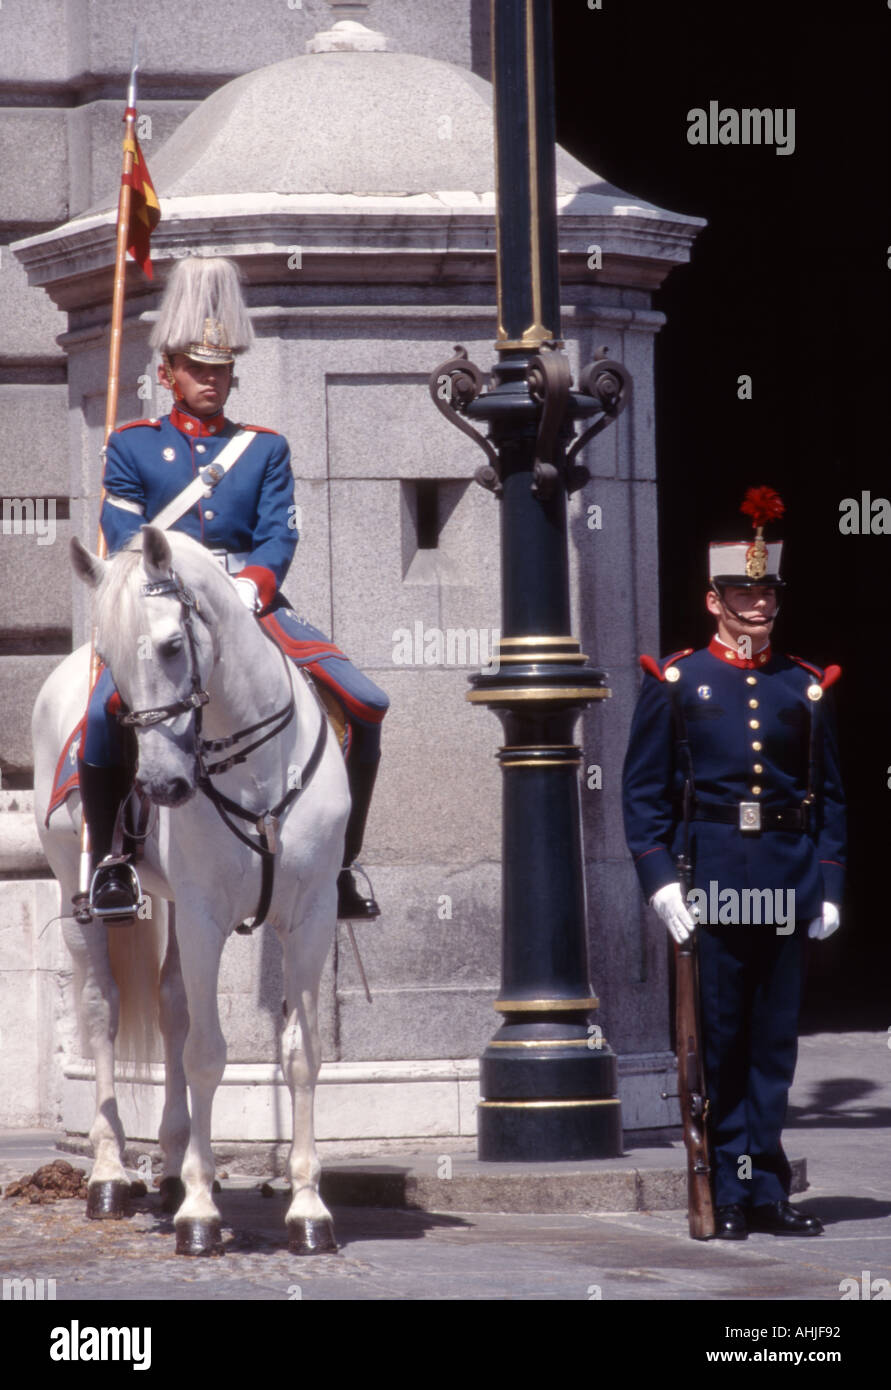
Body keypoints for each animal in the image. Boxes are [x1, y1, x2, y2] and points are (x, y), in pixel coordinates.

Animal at [32, 522, 350, 1262]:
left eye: (174, 646)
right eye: (115, 667)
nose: (162, 787)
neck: (254, 768)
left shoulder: (312, 915)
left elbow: (301, 1055)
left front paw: (308, 1208)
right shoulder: (207, 917)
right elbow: (207, 1055)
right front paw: (201, 1213)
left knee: (173, 1005)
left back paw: (174, 1164)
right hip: (73, 891)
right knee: (104, 1011)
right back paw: (111, 1174)